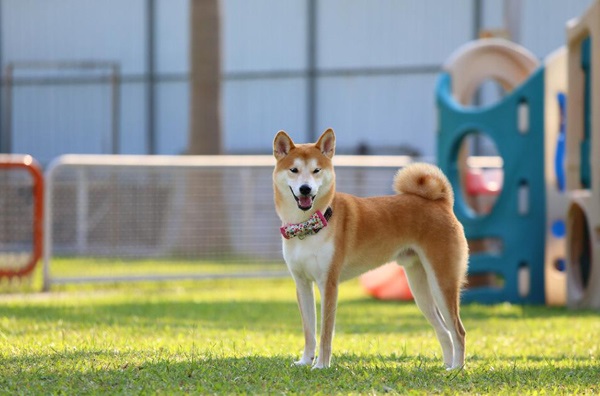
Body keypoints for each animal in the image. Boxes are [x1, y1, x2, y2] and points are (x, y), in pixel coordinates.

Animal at [272, 128, 468, 370]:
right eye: (294, 170)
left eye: (316, 170)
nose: (305, 189)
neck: (307, 227)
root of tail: (441, 203)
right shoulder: (302, 284)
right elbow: (309, 331)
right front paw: (305, 361)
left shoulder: (329, 283)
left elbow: (326, 332)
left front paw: (321, 365)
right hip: (420, 289)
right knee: (443, 330)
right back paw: (447, 366)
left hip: (442, 282)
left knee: (458, 330)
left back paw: (457, 368)